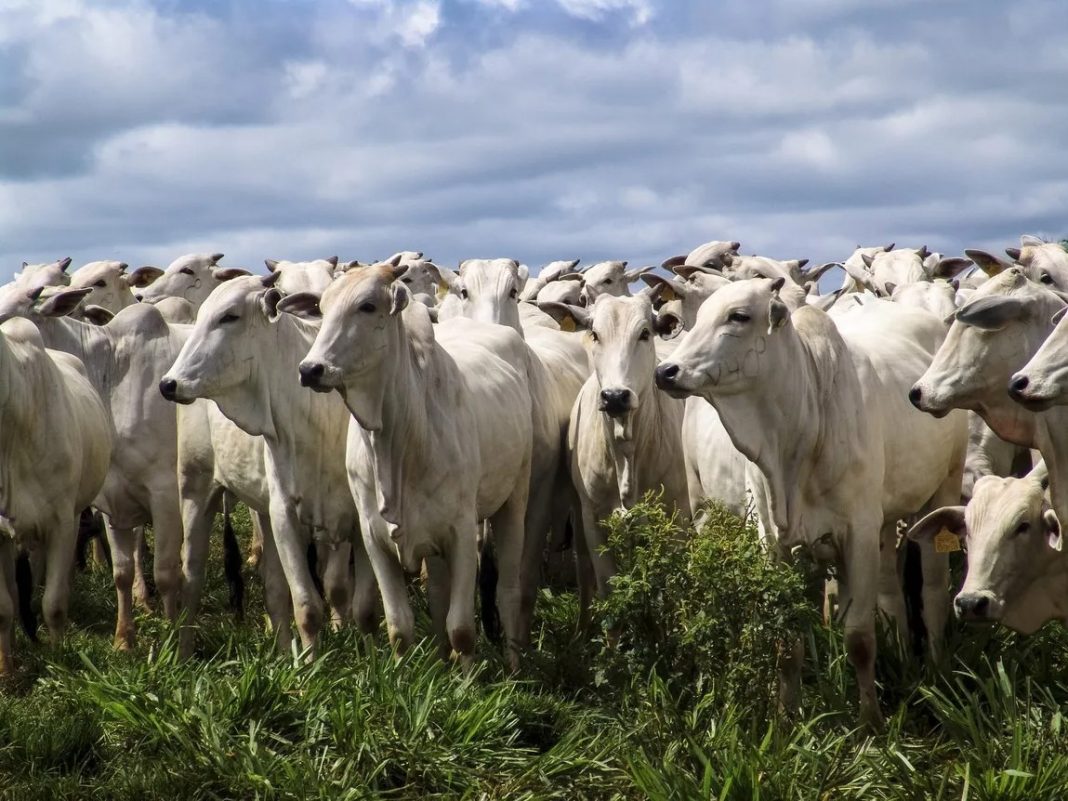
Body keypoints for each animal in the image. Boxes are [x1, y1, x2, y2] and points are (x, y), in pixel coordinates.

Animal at [158, 273, 375, 653]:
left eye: (229, 316)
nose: (169, 384)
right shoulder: (285, 513)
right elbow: (307, 607)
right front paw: (311, 666)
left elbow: (361, 606)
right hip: (196, 489)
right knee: (191, 580)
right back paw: (183, 654)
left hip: (260, 510)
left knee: (274, 590)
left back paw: (282, 653)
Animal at [292, 263, 534, 670]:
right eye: (322, 309)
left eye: (367, 306)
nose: (311, 369)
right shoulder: (373, 538)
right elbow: (399, 627)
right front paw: (404, 673)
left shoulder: (462, 533)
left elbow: (462, 629)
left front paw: (468, 682)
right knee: (437, 595)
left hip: (514, 499)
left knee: (510, 591)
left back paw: (515, 666)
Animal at [653, 277, 974, 734]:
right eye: (697, 317)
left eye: (738, 316)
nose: (666, 371)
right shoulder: (776, 542)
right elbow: (787, 642)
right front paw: (786, 720)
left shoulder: (857, 533)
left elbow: (859, 637)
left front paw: (870, 722)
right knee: (892, 591)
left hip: (943, 487)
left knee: (931, 591)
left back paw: (937, 669)